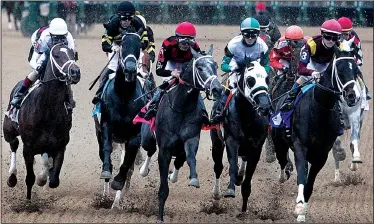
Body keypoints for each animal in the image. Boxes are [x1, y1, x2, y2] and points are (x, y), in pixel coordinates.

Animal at [3, 43, 80, 200]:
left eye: (73, 54)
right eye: (56, 55)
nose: (75, 72)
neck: (48, 109)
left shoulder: (60, 146)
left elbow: (54, 180)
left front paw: (43, 179)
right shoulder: (28, 147)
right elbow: (29, 178)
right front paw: (28, 199)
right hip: (8, 130)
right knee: (14, 144)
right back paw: (12, 177)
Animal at [155, 46, 222, 222]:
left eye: (215, 66)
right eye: (199, 67)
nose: (217, 89)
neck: (181, 107)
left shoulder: (191, 138)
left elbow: (190, 157)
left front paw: (194, 179)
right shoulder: (164, 149)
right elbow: (163, 187)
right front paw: (160, 217)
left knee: (180, 159)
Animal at [210, 61, 272, 212]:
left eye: (267, 79)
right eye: (250, 80)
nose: (264, 106)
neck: (247, 116)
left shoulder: (256, 146)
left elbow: (248, 176)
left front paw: (244, 208)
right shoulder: (231, 141)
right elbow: (232, 165)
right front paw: (230, 190)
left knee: (243, 159)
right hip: (217, 141)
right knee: (218, 167)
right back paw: (217, 193)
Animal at [272, 47, 360, 222]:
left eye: (355, 70)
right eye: (340, 70)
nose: (352, 96)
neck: (319, 110)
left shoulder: (321, 154)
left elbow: (310, 183)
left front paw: (302, 212)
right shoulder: (300, 147)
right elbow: (301, 176)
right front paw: (299, 206)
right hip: (279, 142)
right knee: (282, 160)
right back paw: (283, 175)